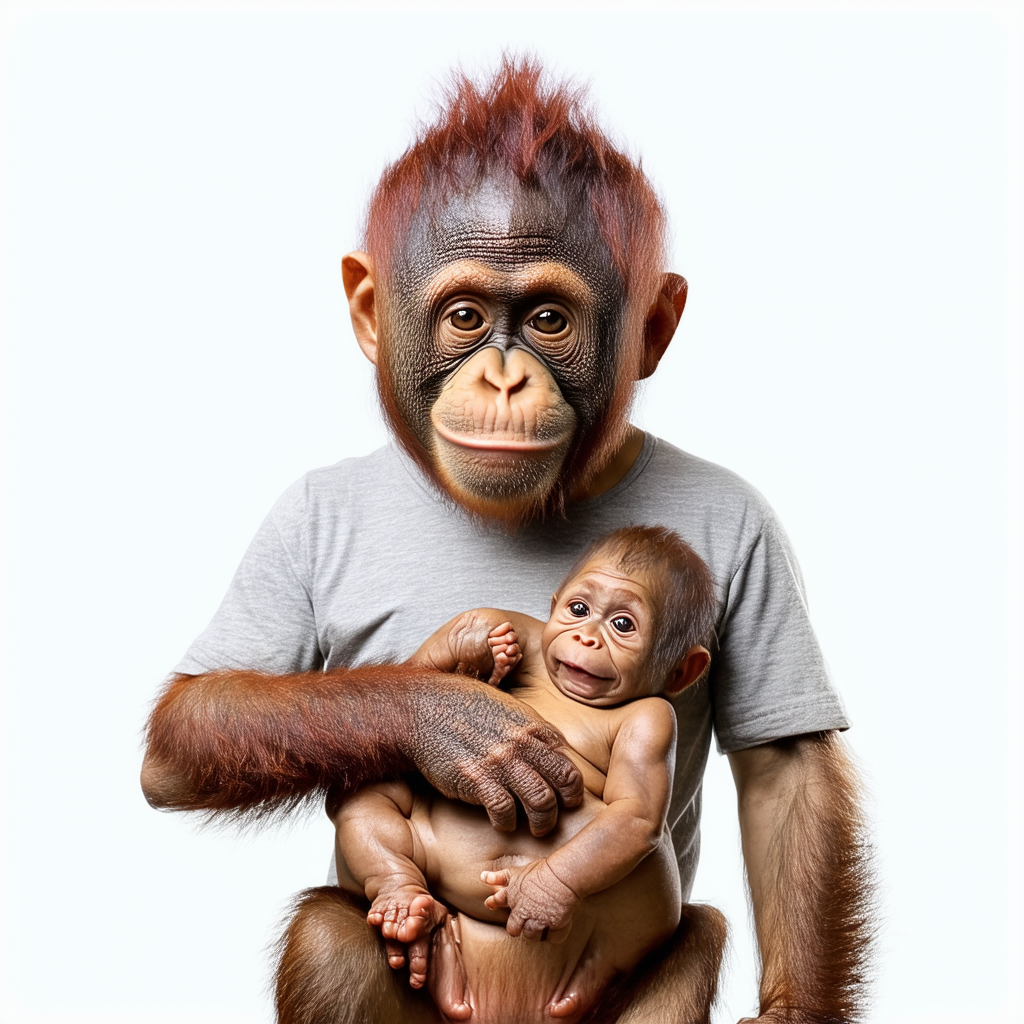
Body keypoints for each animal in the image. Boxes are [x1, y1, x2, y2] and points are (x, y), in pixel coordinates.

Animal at [143, 58, 873, 1023]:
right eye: (464, 316)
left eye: (549, 321)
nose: (503, 374)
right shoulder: (292, 521)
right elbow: (189, 731)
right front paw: (455, 702)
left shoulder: (748, 550)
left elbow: (776, 779)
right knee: (353, 865)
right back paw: (403, 907)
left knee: (694, 929)